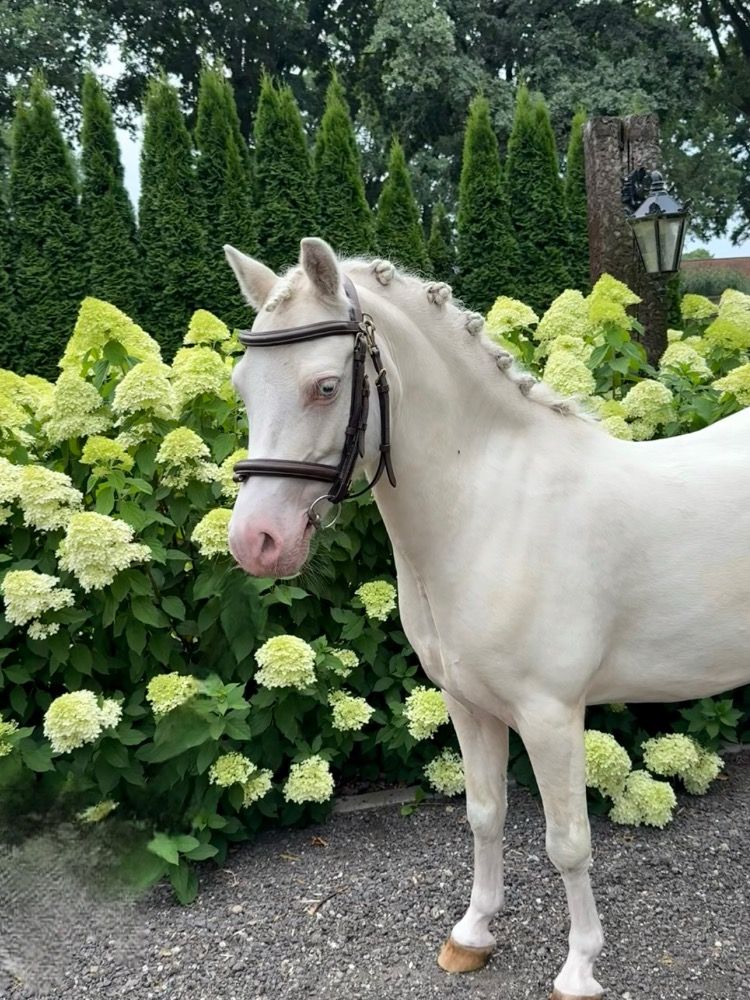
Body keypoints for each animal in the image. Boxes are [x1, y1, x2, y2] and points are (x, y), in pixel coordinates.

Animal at [223, 236, 750, 1000]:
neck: (493, 507)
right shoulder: (469, 704)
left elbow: (568, 844)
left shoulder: (551, 714)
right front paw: (473, 935)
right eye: (242, 387)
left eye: (324, 387)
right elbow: (484, 815)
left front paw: (579, 967)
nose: (256, 542)